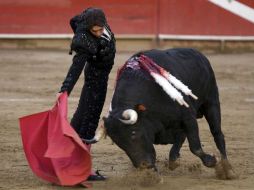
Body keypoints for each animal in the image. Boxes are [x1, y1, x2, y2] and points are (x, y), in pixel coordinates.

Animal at [100, 47, 235, 178]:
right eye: (119, 143)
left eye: (133, 133)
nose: (144, 165)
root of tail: (199, 54)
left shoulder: (188, 117)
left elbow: (195, 146)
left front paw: (212, 161)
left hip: (211, 102)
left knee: (217, 133)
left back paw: (227, 169)